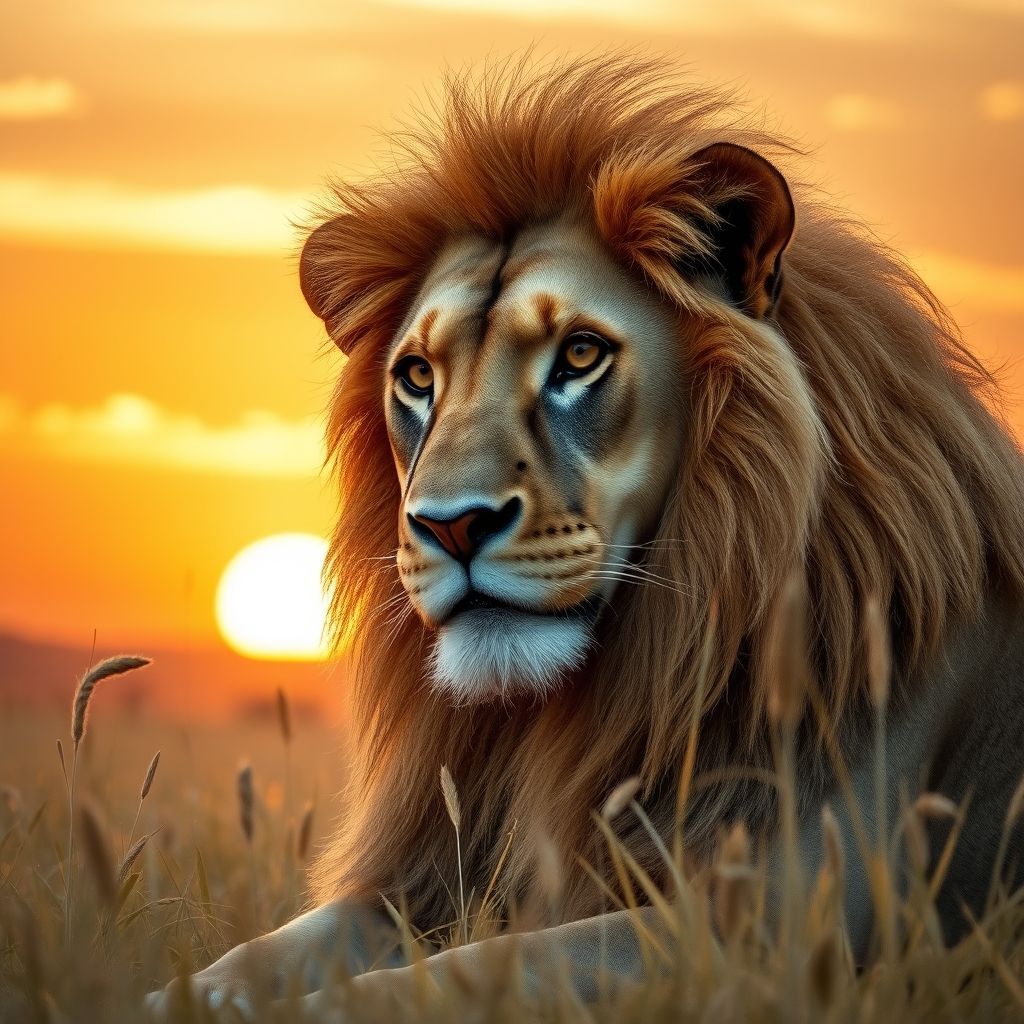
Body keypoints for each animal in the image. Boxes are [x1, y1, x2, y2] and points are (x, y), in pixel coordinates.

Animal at [149, 55, 1024, 1016]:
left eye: (578, 355)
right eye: (417, 376)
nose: (452, 525)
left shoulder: (774, 928)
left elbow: (463, 973)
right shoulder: (427, 878)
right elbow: (270, 950)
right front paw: (181, 995)